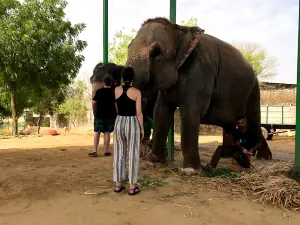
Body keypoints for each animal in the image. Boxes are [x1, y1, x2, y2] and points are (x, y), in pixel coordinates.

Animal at [125, 16, 274, 174]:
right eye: (129, 46)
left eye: (156, 52)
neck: (180, 29)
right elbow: (161, 111)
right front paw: (156, 164)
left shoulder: (199, 73)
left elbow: (190, 112)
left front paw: (190, 171)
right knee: (231, 126)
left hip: (253, 92)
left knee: (254, 122)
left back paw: (264, 158)